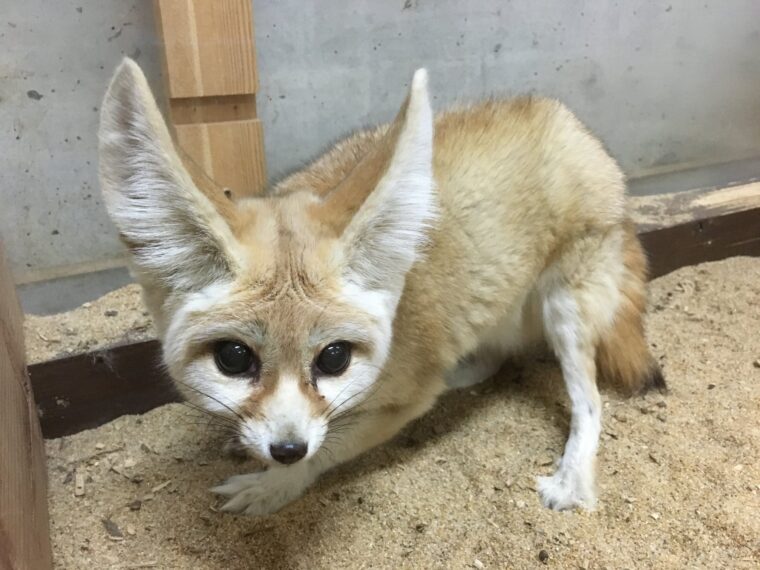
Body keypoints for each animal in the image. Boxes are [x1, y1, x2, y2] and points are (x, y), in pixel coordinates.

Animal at [99, 58, 664, 516]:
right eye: (233, 358)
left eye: (334, 358)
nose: (286, 448)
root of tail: (571, 124)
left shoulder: (397, 404)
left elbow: (330, 446)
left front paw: (276, 484)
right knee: (496, 357)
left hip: (564, 310)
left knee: (590, 402)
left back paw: (572, 480)